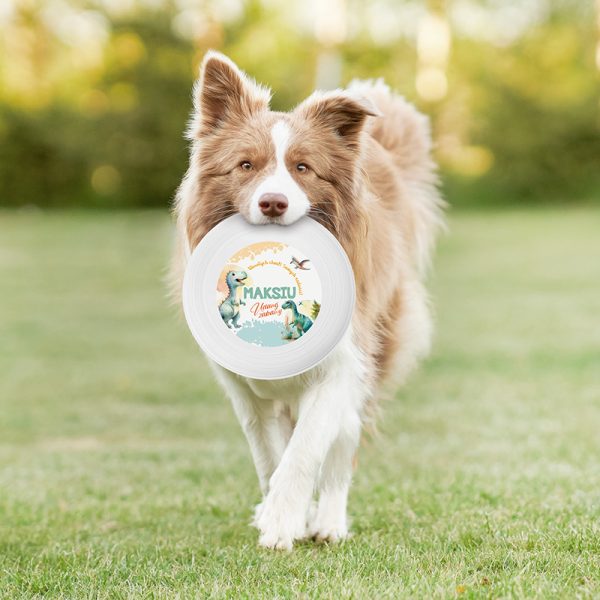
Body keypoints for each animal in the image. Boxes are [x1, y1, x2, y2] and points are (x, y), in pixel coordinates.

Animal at [171, 52, 442, 552]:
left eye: (302, 167)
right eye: (246, 165)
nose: (273, 203)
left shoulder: (340, 368)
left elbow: (303, 453)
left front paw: (283, 524)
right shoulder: (245, 391)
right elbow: (270, 457)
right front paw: (277, 515)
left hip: (371, 362)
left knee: (342, 451)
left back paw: (329, 522)